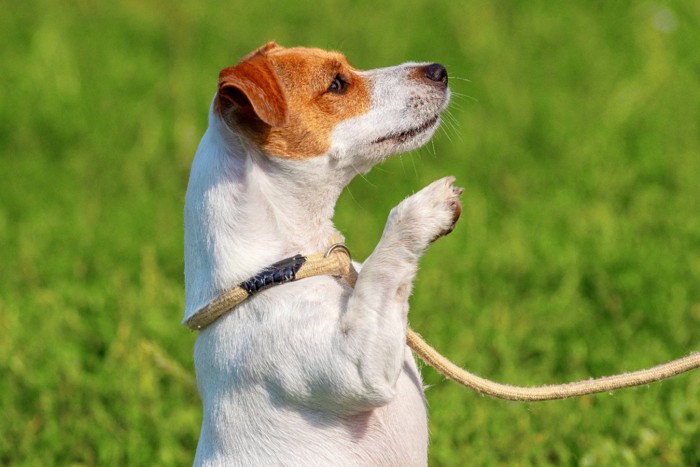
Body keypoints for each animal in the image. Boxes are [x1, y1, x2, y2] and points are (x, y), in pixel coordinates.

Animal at [183, 42, 462, 466]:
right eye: (337, 84)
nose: (439, 70)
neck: (281, 269)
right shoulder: (357, 367)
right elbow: (384, 265)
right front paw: (424, 208)